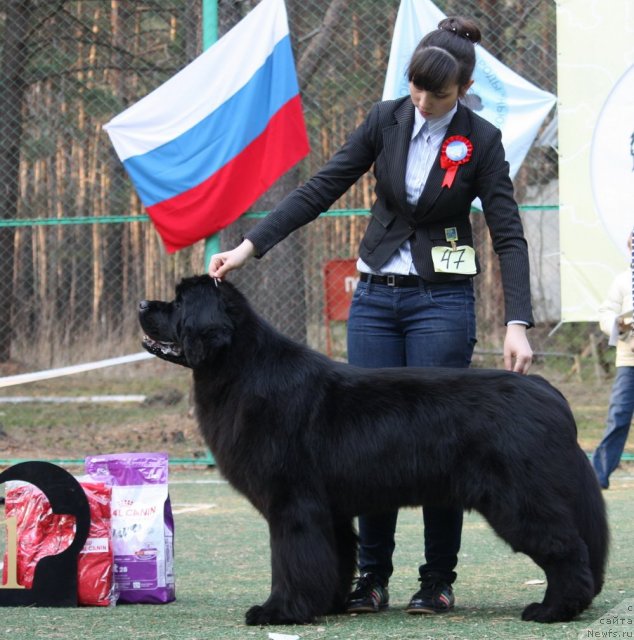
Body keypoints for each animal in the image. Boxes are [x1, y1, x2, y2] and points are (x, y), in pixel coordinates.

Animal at [139, 274, 608, 624]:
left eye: (178, 303)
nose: (144, 304)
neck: (243, 370)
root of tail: (548, 392)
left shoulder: (293, 505)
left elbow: (290, 561)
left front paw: (279, 611)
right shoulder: (329, 512)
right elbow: (335, 558)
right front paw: (327, 604)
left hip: (518, 498)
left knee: (566, 548)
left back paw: (553, 609)